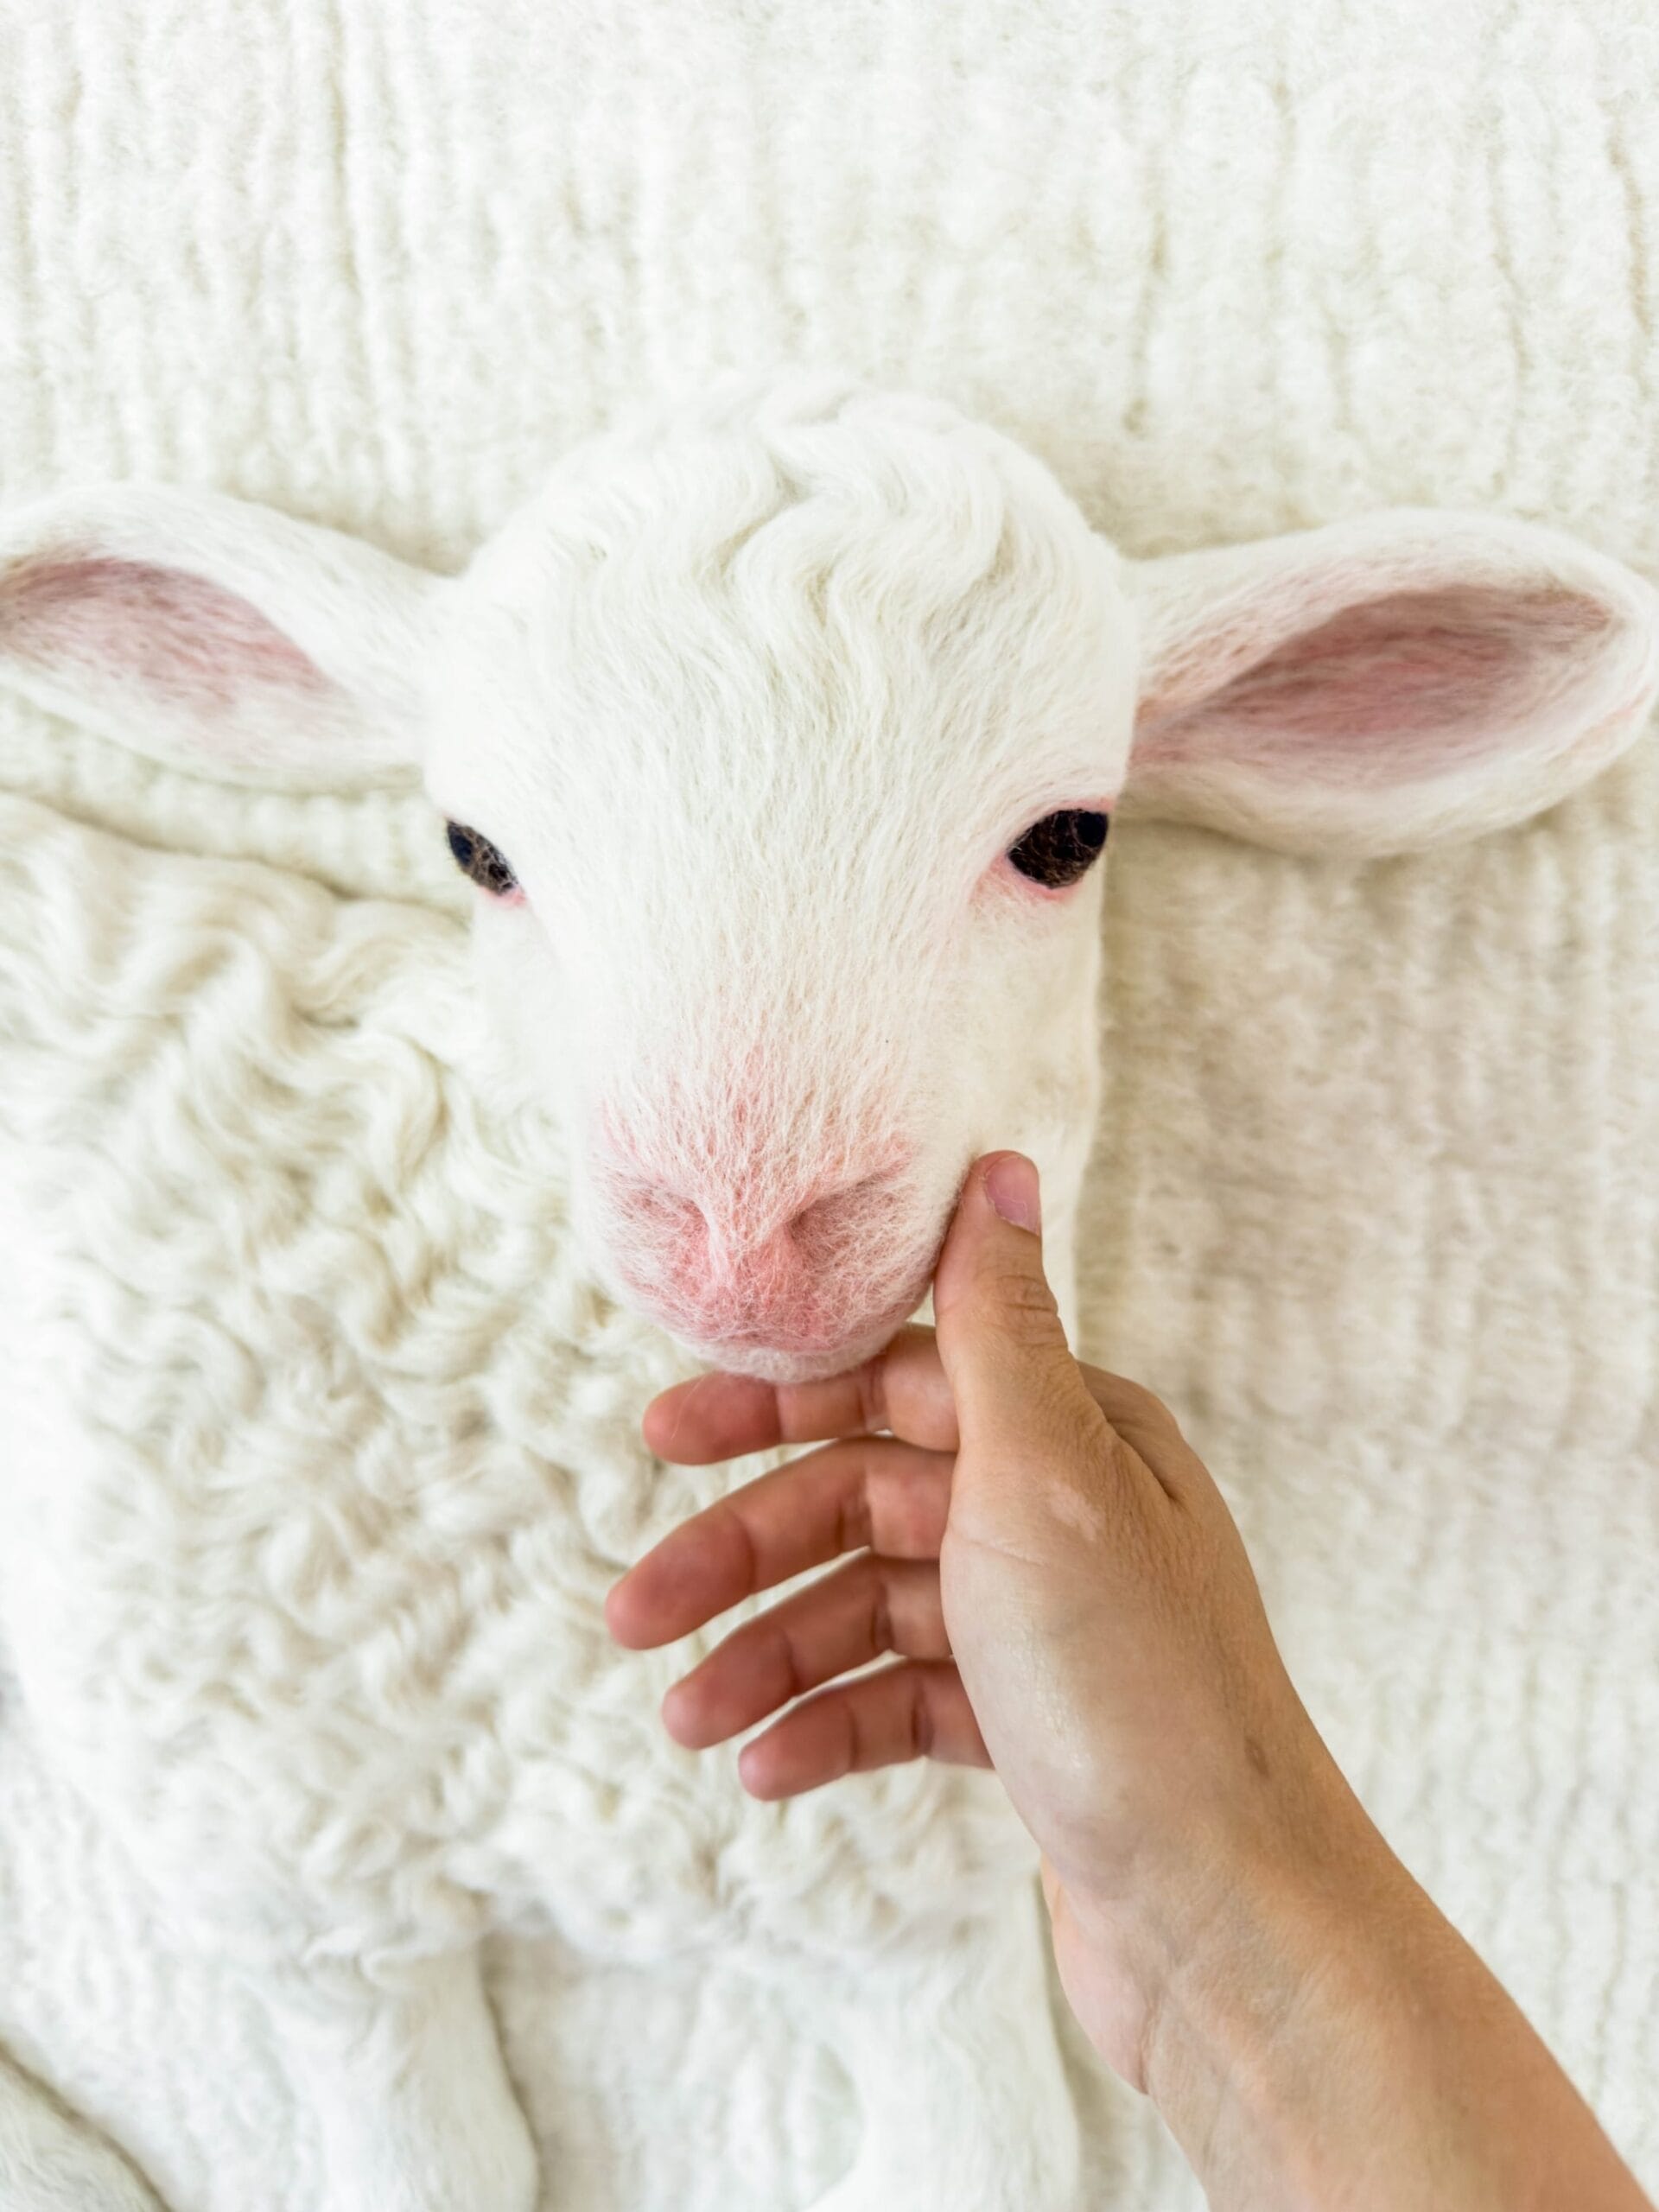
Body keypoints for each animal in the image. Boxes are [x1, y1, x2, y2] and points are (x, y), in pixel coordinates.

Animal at [0, 372, 1654, 2202]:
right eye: (476, 850)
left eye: (1068, 839)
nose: (748, 1234)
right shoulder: (289, 1850)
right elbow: (432, 2161)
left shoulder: (903, 1872)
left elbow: (997, 2155)